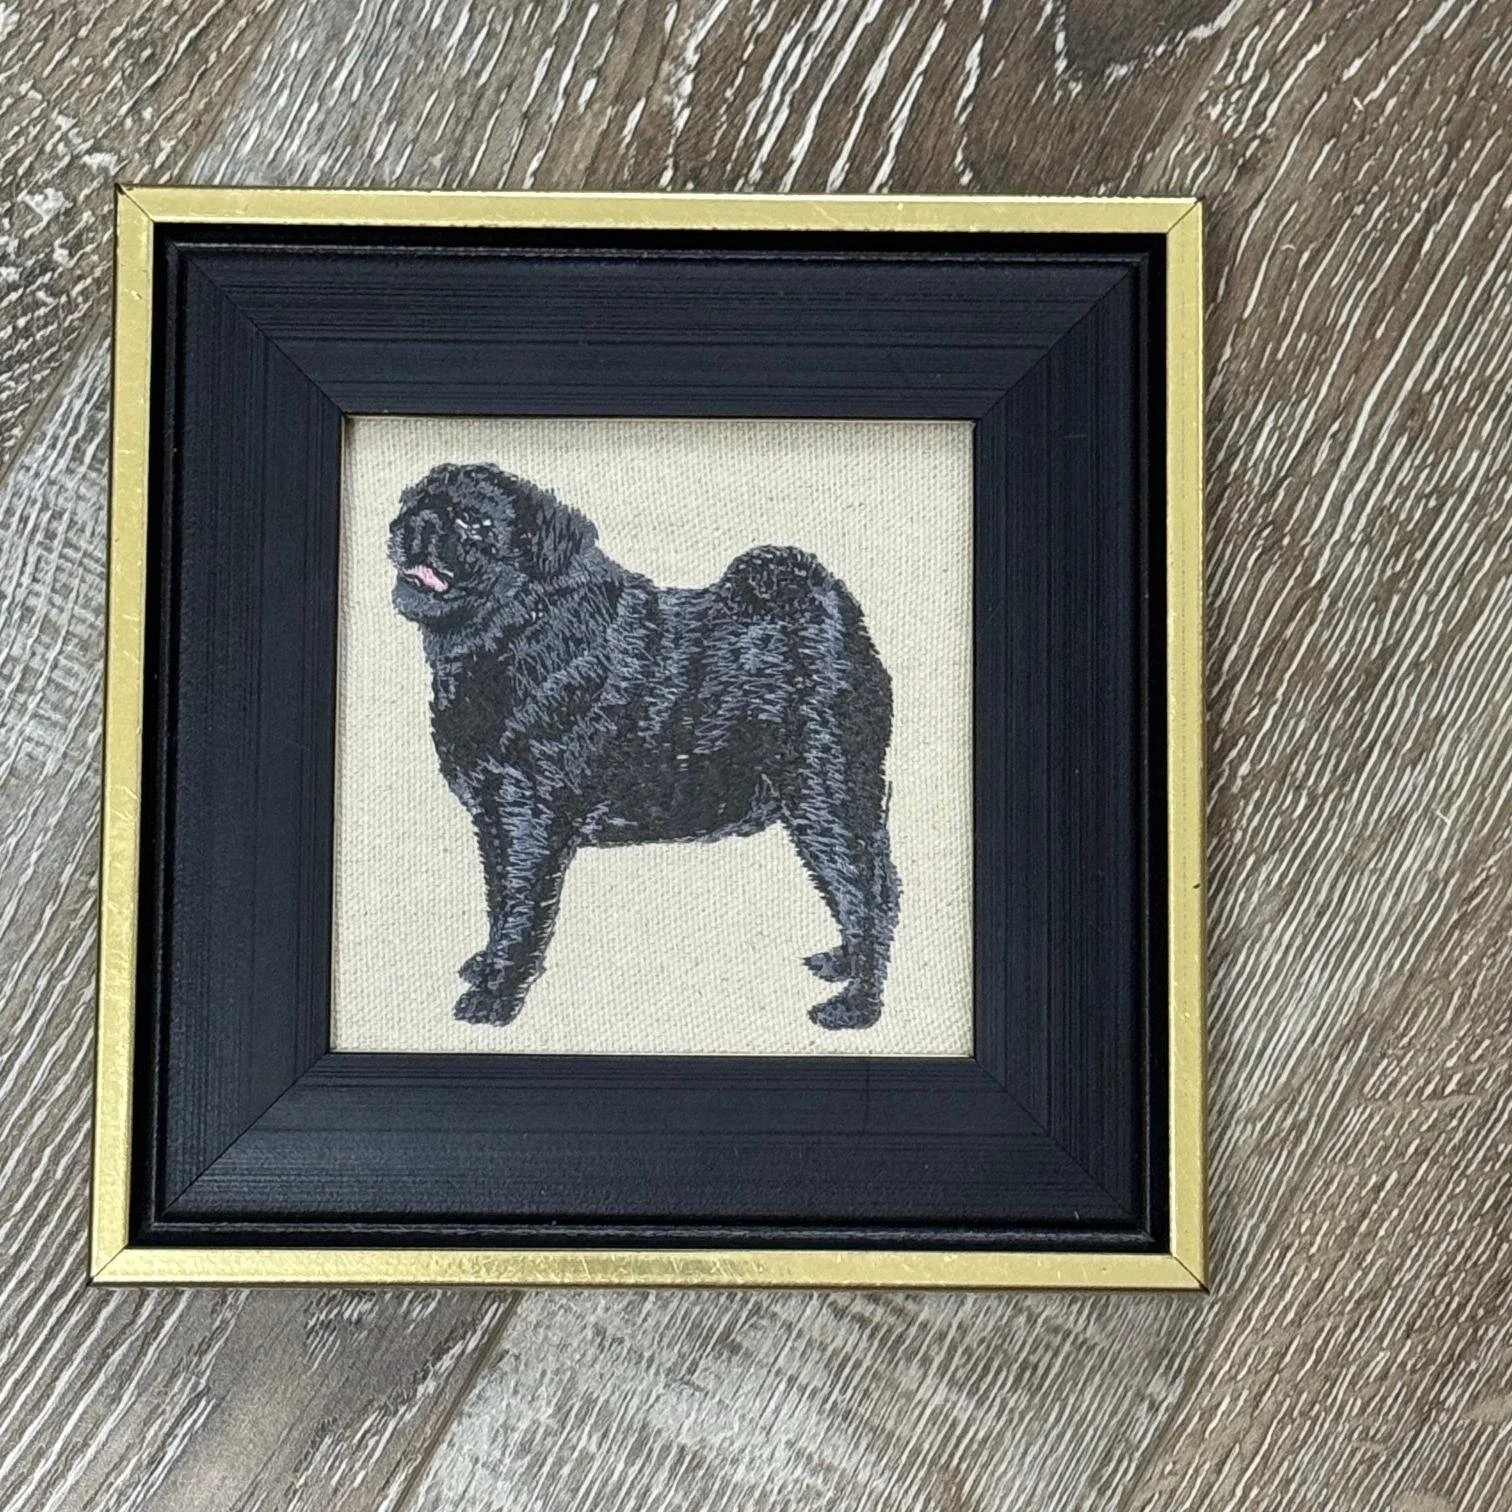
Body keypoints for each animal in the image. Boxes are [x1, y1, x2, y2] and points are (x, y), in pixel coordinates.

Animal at [390, 462, 901, 1030]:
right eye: (413, 504)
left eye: (472, 523)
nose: (416, 526)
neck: (516, 634)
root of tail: (828, 605)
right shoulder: (493, 821)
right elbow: (498, 900)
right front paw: (487, 967)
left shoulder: (527, 822)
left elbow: (519, 911)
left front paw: (495, 996)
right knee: (870, 887)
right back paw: (844, 963)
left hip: (825, 802)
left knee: (864, 894)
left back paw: (858, 1005)